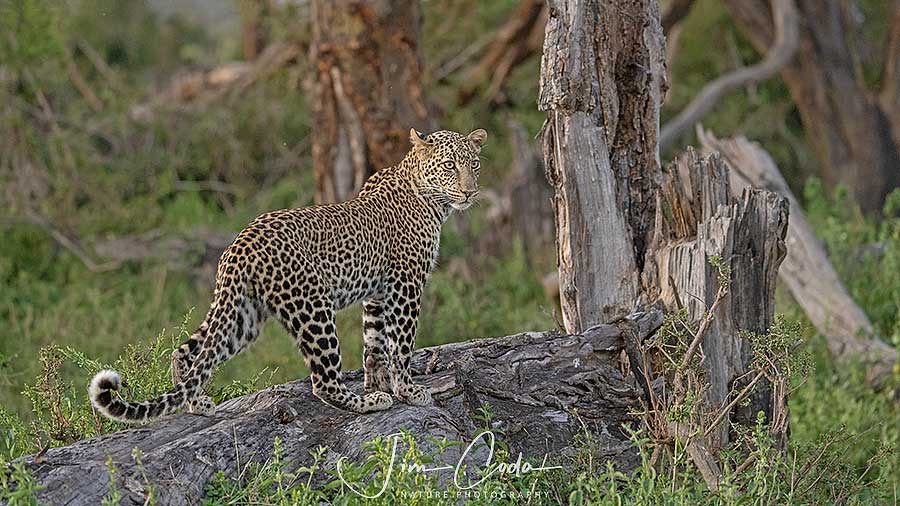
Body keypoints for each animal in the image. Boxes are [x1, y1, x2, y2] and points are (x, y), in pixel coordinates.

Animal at [89, 127, 486, 422]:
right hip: (313, 307)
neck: (431, 199)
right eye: (449, 165)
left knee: (188, 351)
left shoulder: (377, 292)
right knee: (323, 382)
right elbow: (401, 343)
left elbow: (374, 343)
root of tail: (240, 244)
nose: (470, 192)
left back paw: (195, 403)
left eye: (474, 164)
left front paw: (379, 384)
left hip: (243, 316)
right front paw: (406, 391)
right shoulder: (405, 284)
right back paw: (364, 404)